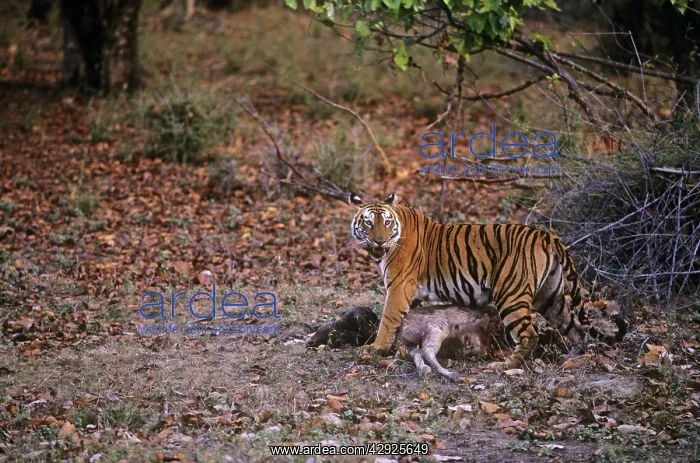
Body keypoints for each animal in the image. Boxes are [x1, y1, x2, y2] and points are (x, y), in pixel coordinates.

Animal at [349, 192, 627, 370]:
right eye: (369, 223)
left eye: (386, 223)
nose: (380, 241)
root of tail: (548, 237)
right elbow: (404, 321)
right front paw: (396, 347)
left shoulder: (399, 287)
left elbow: (388, 319)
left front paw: (375, 349)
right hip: (550, 298)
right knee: (575, 328)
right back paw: (574, 357)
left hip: (511, 295)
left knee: (530, 334)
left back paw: (505, 365)